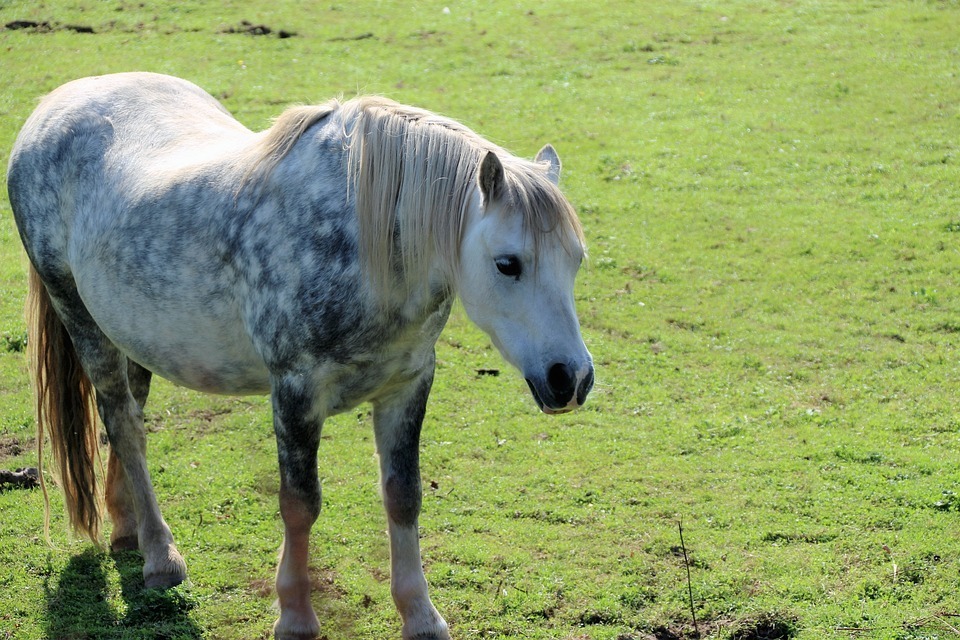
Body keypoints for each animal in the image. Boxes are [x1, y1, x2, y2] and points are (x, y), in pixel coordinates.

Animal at [5, 72, 592, 636]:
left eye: (577, 259)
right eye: (508, 264)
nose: (573, 378)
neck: (364, 251)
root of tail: (55, 105)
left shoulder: (408, 384)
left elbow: (403, 495)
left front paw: (421, 617)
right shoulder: (294, 391)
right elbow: (300, 503)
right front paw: (294, 615)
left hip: (134, 334)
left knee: (128, 421)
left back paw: (129, 528)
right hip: (78, 313)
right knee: (123, 421)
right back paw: (161, 556)